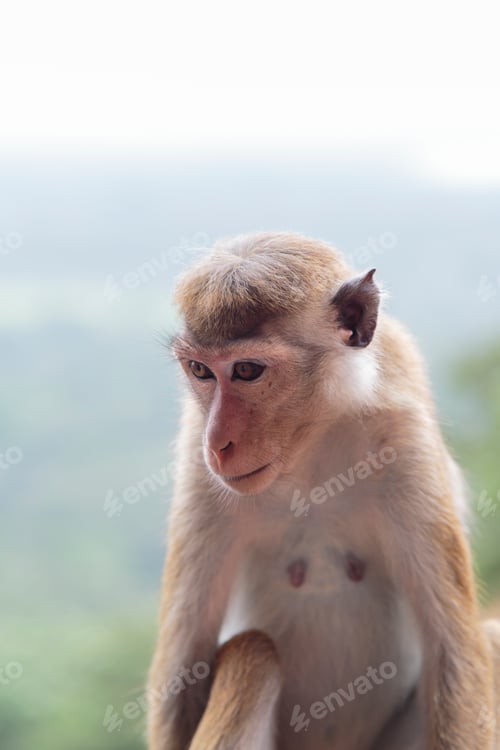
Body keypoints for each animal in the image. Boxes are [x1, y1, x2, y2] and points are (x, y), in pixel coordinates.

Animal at [147, 231, 500, 750]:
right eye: (201, 370)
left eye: (247, 371)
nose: (218, 445)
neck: (309, 452)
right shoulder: (197, 462)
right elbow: (182, 677)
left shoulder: (405, 443)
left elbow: (453, 653)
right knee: (252, 655)